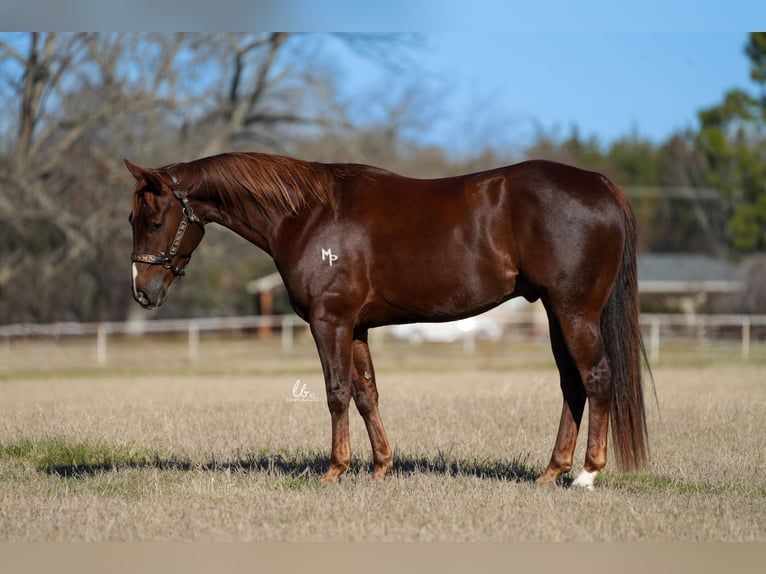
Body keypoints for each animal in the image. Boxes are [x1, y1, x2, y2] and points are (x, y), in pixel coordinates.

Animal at [127, 153, 656, 490]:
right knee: (571, 384)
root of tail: (600, 183)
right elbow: (367, 394)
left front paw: (334, 470)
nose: (143, 292)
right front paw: (381, 467)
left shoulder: (330, 321)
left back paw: (586, 474)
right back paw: (551, 471)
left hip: (574, 310)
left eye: (153, 221)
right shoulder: (357, 326)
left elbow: (337, 392)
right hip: (554, 311)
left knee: (596, 378)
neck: (307, 214)